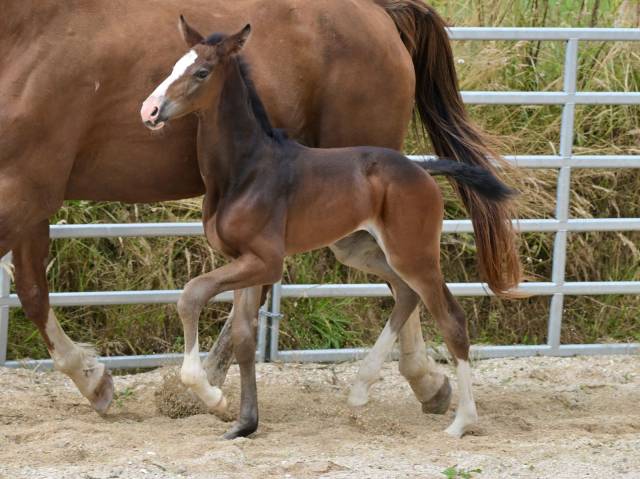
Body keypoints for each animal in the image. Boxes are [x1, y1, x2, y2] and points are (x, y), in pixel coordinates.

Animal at [142, 24, 516, 440]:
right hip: (361, 250)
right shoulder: (244, 260)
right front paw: (243, 422)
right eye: (174, 66)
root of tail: (421, 168)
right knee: (405, 293)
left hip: (413, 253)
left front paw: (211, 396)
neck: (245, 170)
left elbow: (192, 295)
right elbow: (242, 337)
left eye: (201, 72)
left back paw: (462, 421)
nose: (150, 111)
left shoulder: (266, 262)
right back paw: (361, 389)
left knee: (451, 318)